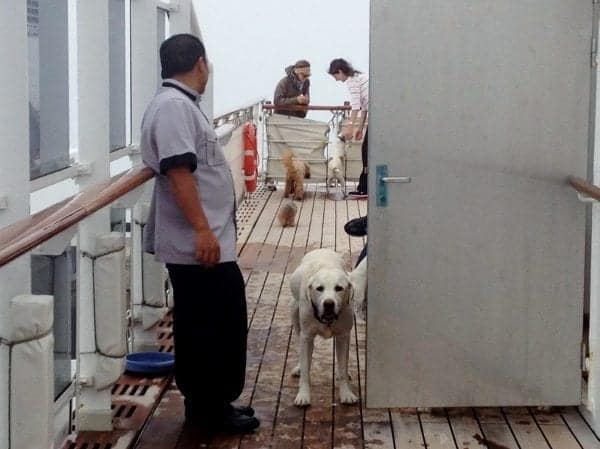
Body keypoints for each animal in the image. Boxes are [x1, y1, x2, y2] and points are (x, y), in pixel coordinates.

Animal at [290, 248, 364, 406]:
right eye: (319, 289)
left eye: (339, 288)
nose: (329, 303)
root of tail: (322, 249)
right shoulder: (307, 337)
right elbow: (306, 369)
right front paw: (303, 395)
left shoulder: (343, 336)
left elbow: (342, 367)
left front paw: (346, 393)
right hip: (295, 314)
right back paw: (299, 367)